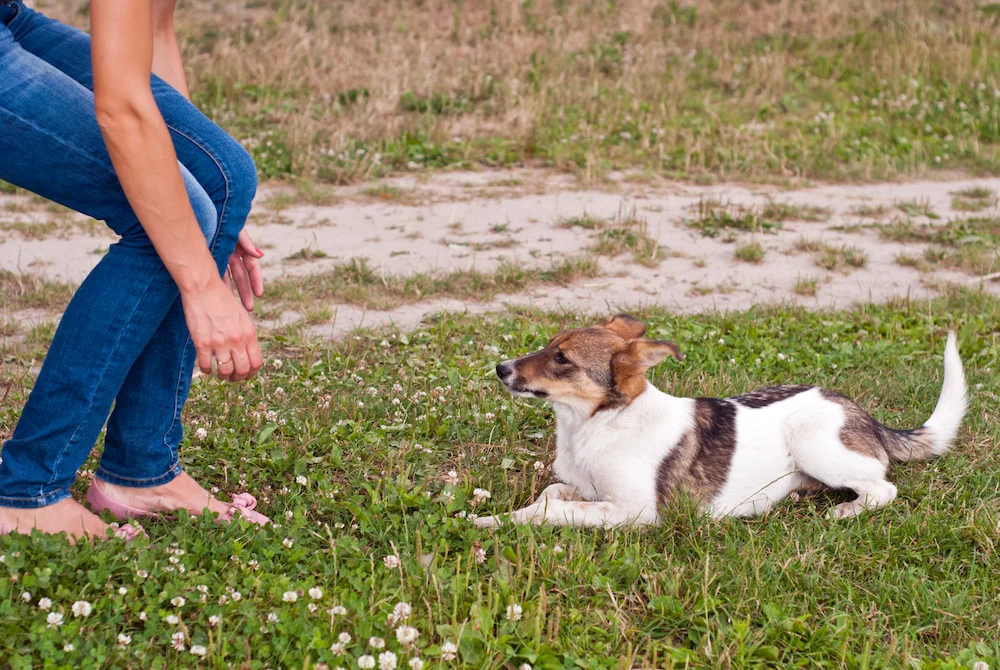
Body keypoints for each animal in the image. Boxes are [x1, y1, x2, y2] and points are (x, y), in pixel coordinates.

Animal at [476, 316, 968, 532]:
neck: (596, 423)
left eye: (562, 359)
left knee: (884, 488)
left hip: (813, 442)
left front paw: (495, 521)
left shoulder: (636, 511)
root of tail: (865, 415)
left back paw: (848, 509)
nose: (499, 368)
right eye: (549, 345)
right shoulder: (588, 489)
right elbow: (552, 493)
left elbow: (555, 510)